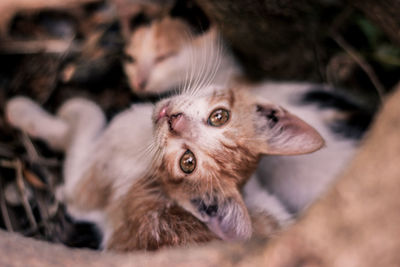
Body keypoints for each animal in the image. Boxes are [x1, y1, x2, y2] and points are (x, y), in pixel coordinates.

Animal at [4, 86, 324, 251]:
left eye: (187, 162)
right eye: (219, 117)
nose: (174, 120)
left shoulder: (82, 190)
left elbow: (88, 116)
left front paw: (24, 110)